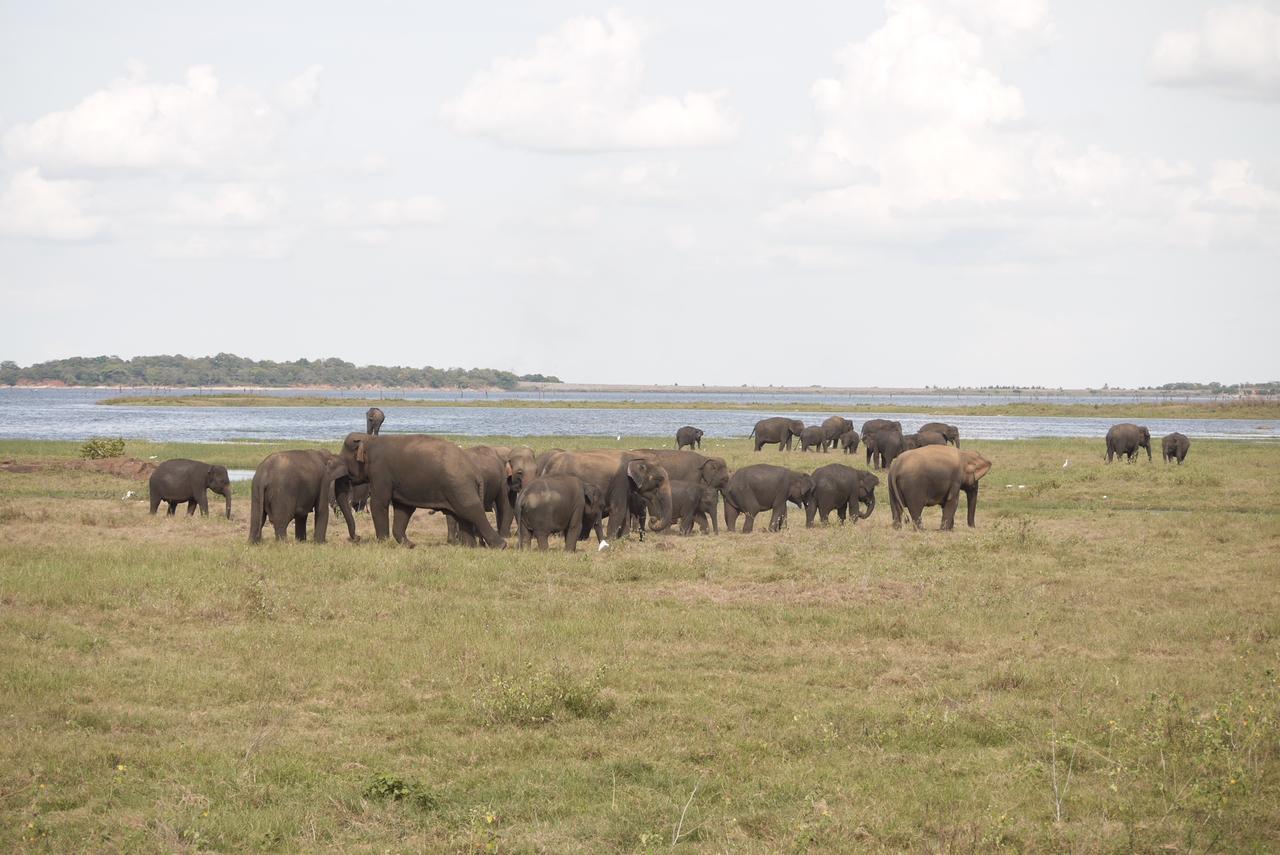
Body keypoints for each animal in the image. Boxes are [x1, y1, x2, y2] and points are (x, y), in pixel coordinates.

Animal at [340, 435, 504, 547]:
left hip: (460, 485)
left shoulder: (380, 471)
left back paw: (500, 545)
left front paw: (383, 542)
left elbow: (379, 503)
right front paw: (409, 545)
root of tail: (475, 471)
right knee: (462, 514)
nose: (357, 538)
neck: (370, 439)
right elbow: (403, 508)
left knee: (470, 510)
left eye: (342, 459)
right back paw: (469, 547)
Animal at [540, 450, 675, 537]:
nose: (653, 519)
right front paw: (611, 539)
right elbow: (618, 510)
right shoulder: (620, 482)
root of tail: (547, 467)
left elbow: (625, 512)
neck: (636, 457)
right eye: (660, 480)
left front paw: (623, 538)